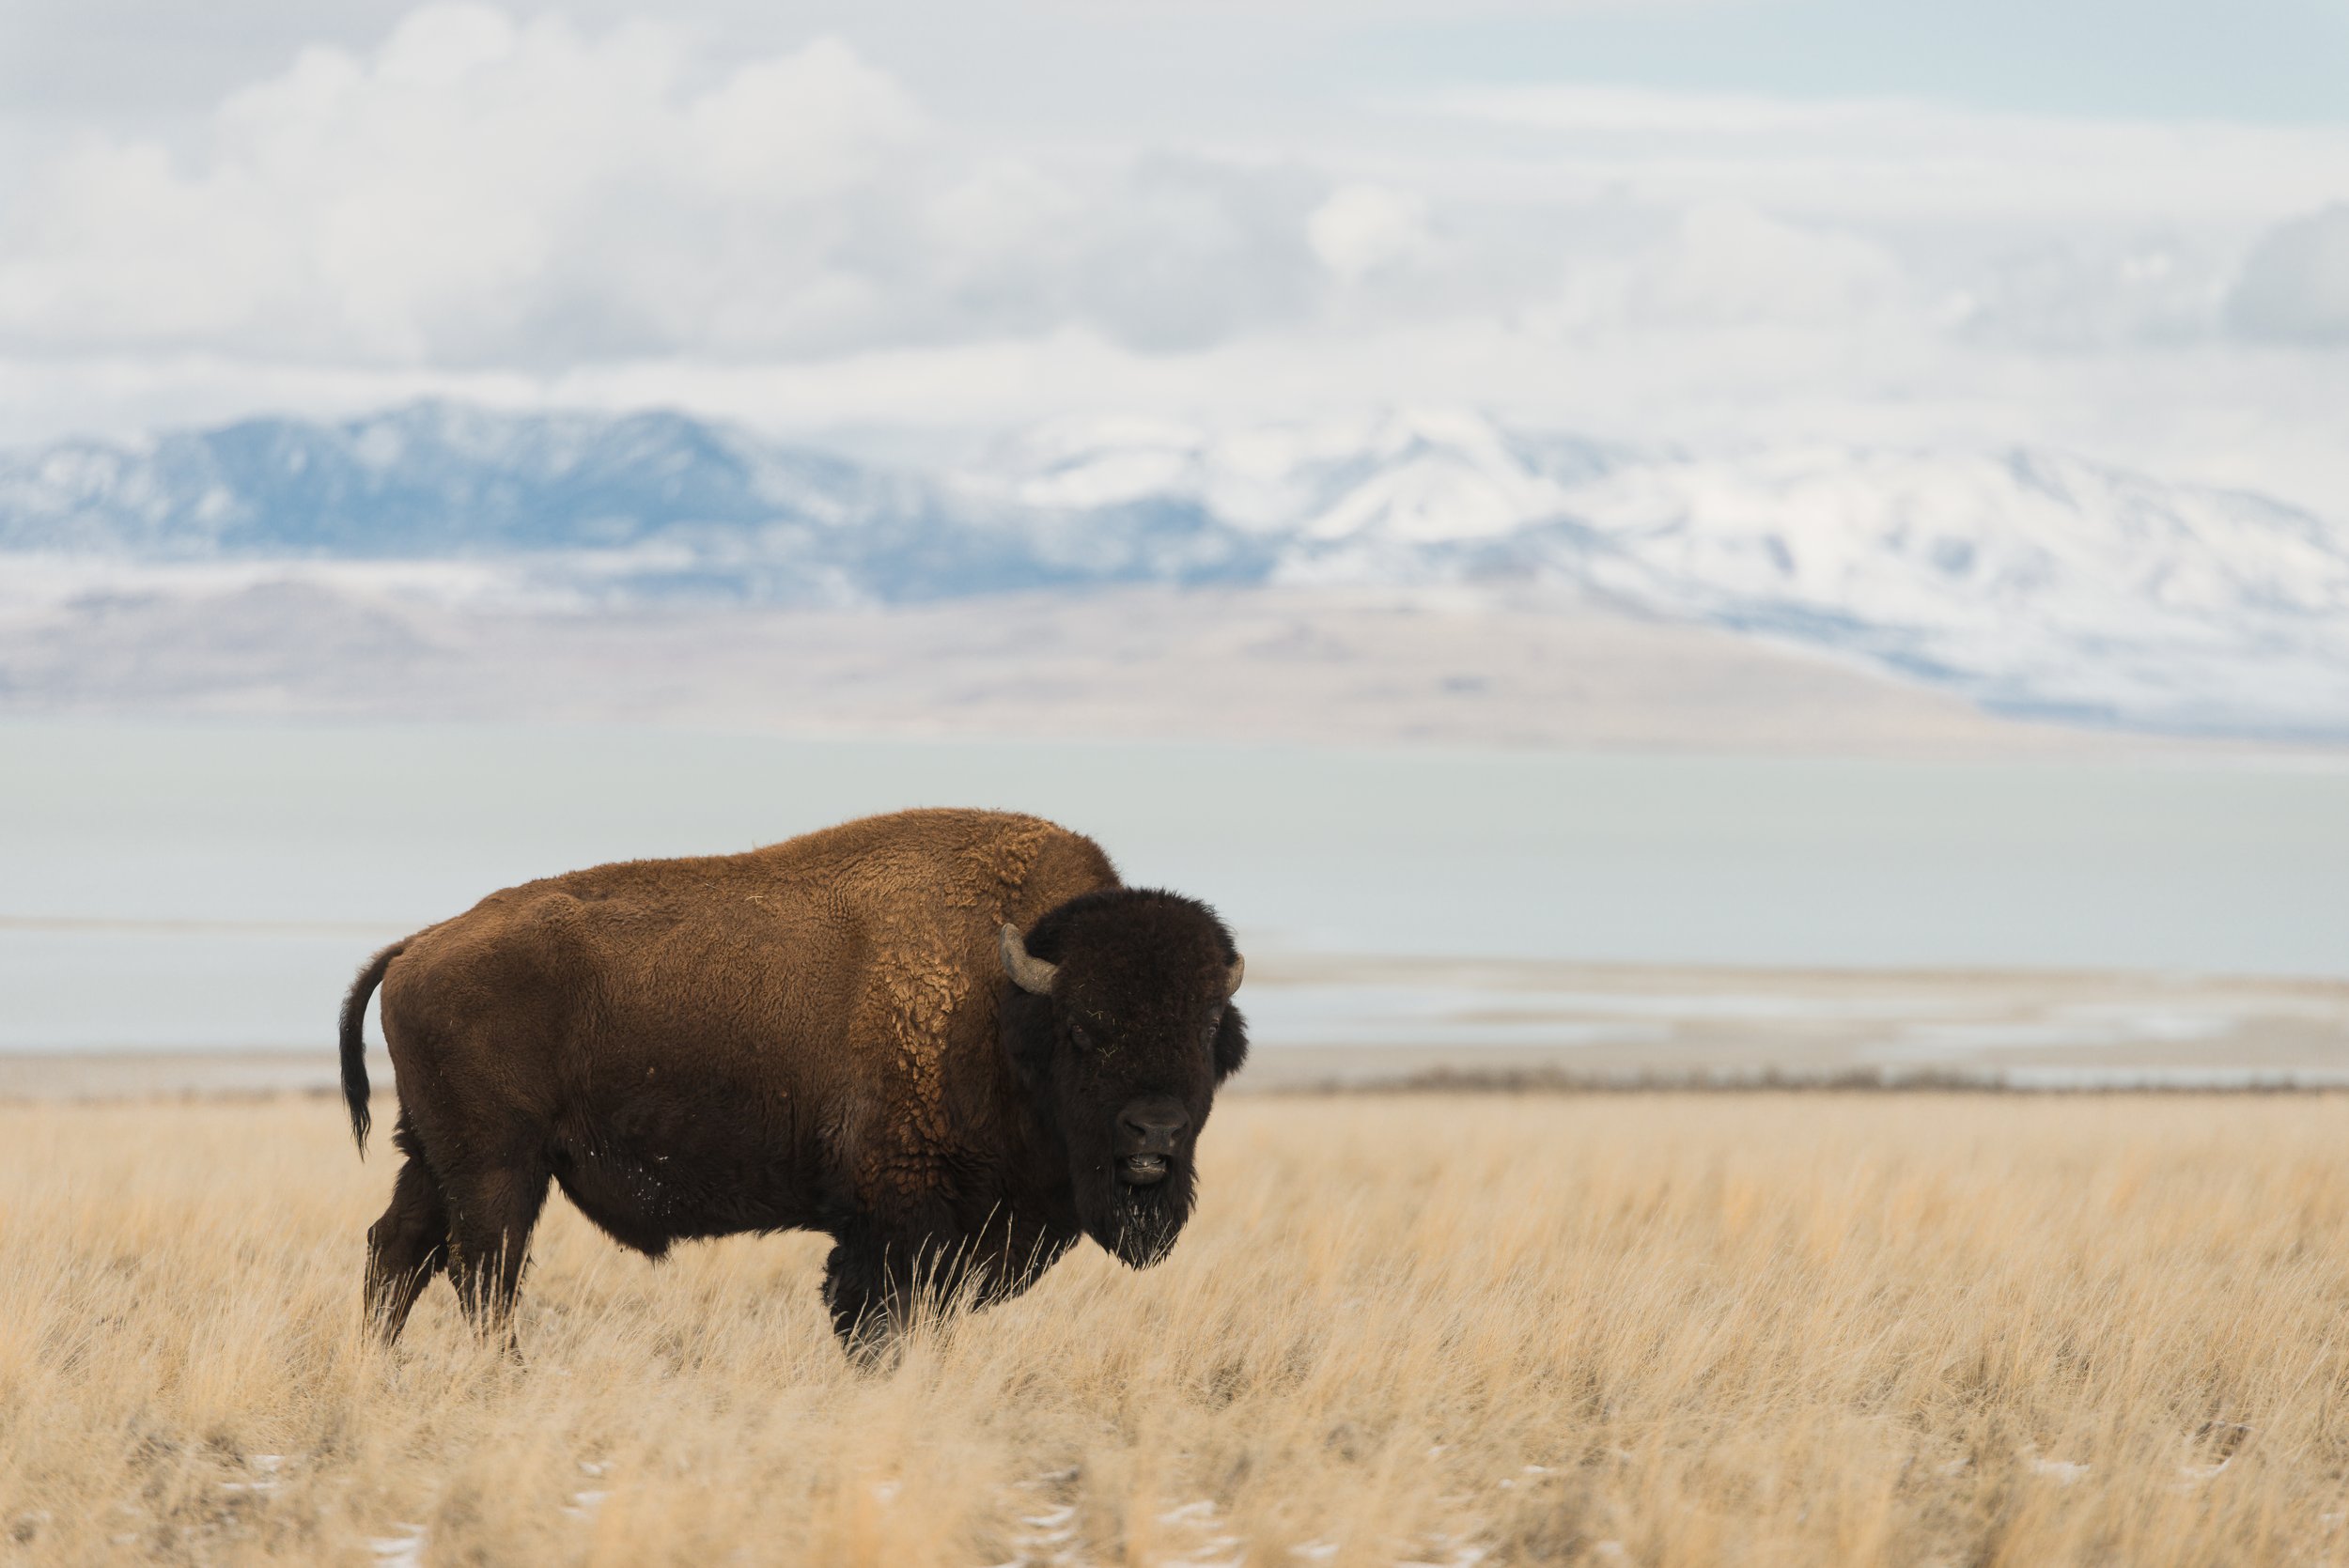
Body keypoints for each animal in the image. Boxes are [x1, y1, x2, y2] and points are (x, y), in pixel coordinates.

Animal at [339, 807, 1247, 1353]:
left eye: (1208, 1027)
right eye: (1085, 1029)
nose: (1155, 1132)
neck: (1003, 1000)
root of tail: (421, 943)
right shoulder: (900, 1219)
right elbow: (880, 1318)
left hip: (434, 1156)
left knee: (399, 1249)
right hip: (498, 1166)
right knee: (482, 1272)